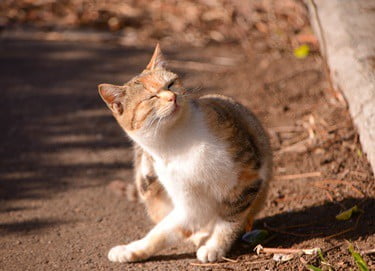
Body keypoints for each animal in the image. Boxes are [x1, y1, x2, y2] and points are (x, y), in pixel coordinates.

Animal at [98, 44, 272, 264]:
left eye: (171, 84)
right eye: (151, 97)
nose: (172, 97)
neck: (177, 142)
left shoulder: (247, 179)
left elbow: (228, 220)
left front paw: (215, 247)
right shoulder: (190, 204)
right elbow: (162, 232)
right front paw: (131, 249)